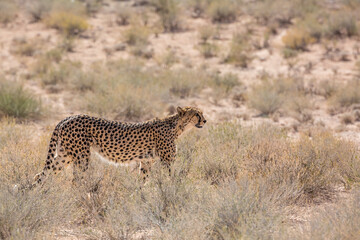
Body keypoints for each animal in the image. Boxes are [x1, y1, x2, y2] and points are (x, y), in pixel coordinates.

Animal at [34, 106, 207, 186]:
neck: (176, 126)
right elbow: (171, 179)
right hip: (82, 156)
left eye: (202, 113)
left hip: (65, 154)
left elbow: (143, 180)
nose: (205, 120)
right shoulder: (167, 161)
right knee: (76, 180)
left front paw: (139, 196)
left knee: (42, 174)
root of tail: (68, 117)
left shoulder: (146, 161)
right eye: (196, 114)